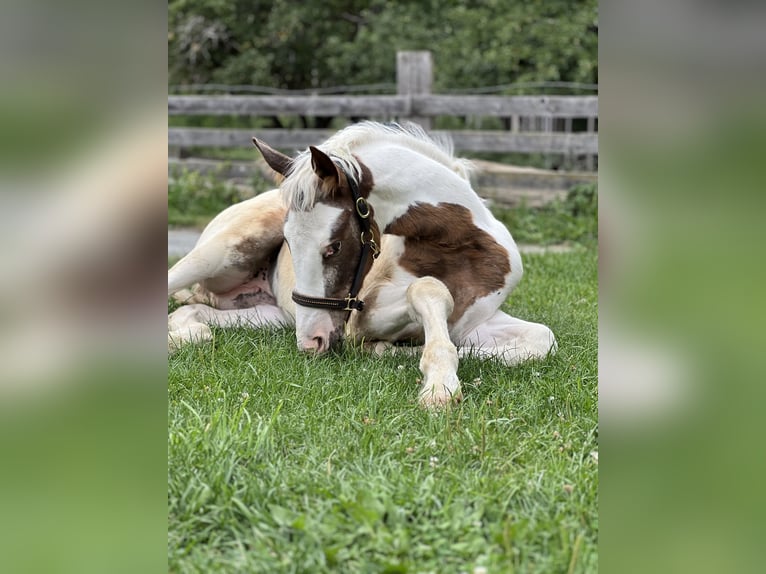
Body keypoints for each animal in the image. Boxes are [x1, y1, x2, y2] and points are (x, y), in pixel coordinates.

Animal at [168, 121, 556, 407]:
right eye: (288, 242)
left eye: (334, 246)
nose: (312, 342)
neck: (462, 249)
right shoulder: (363, 317)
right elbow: (426, 288)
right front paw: (439, 385)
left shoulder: (473, 321)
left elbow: (541, 340)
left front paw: (402, 355)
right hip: (221, 254)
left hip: (270, 316)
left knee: (192, 312)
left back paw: (191, 334)